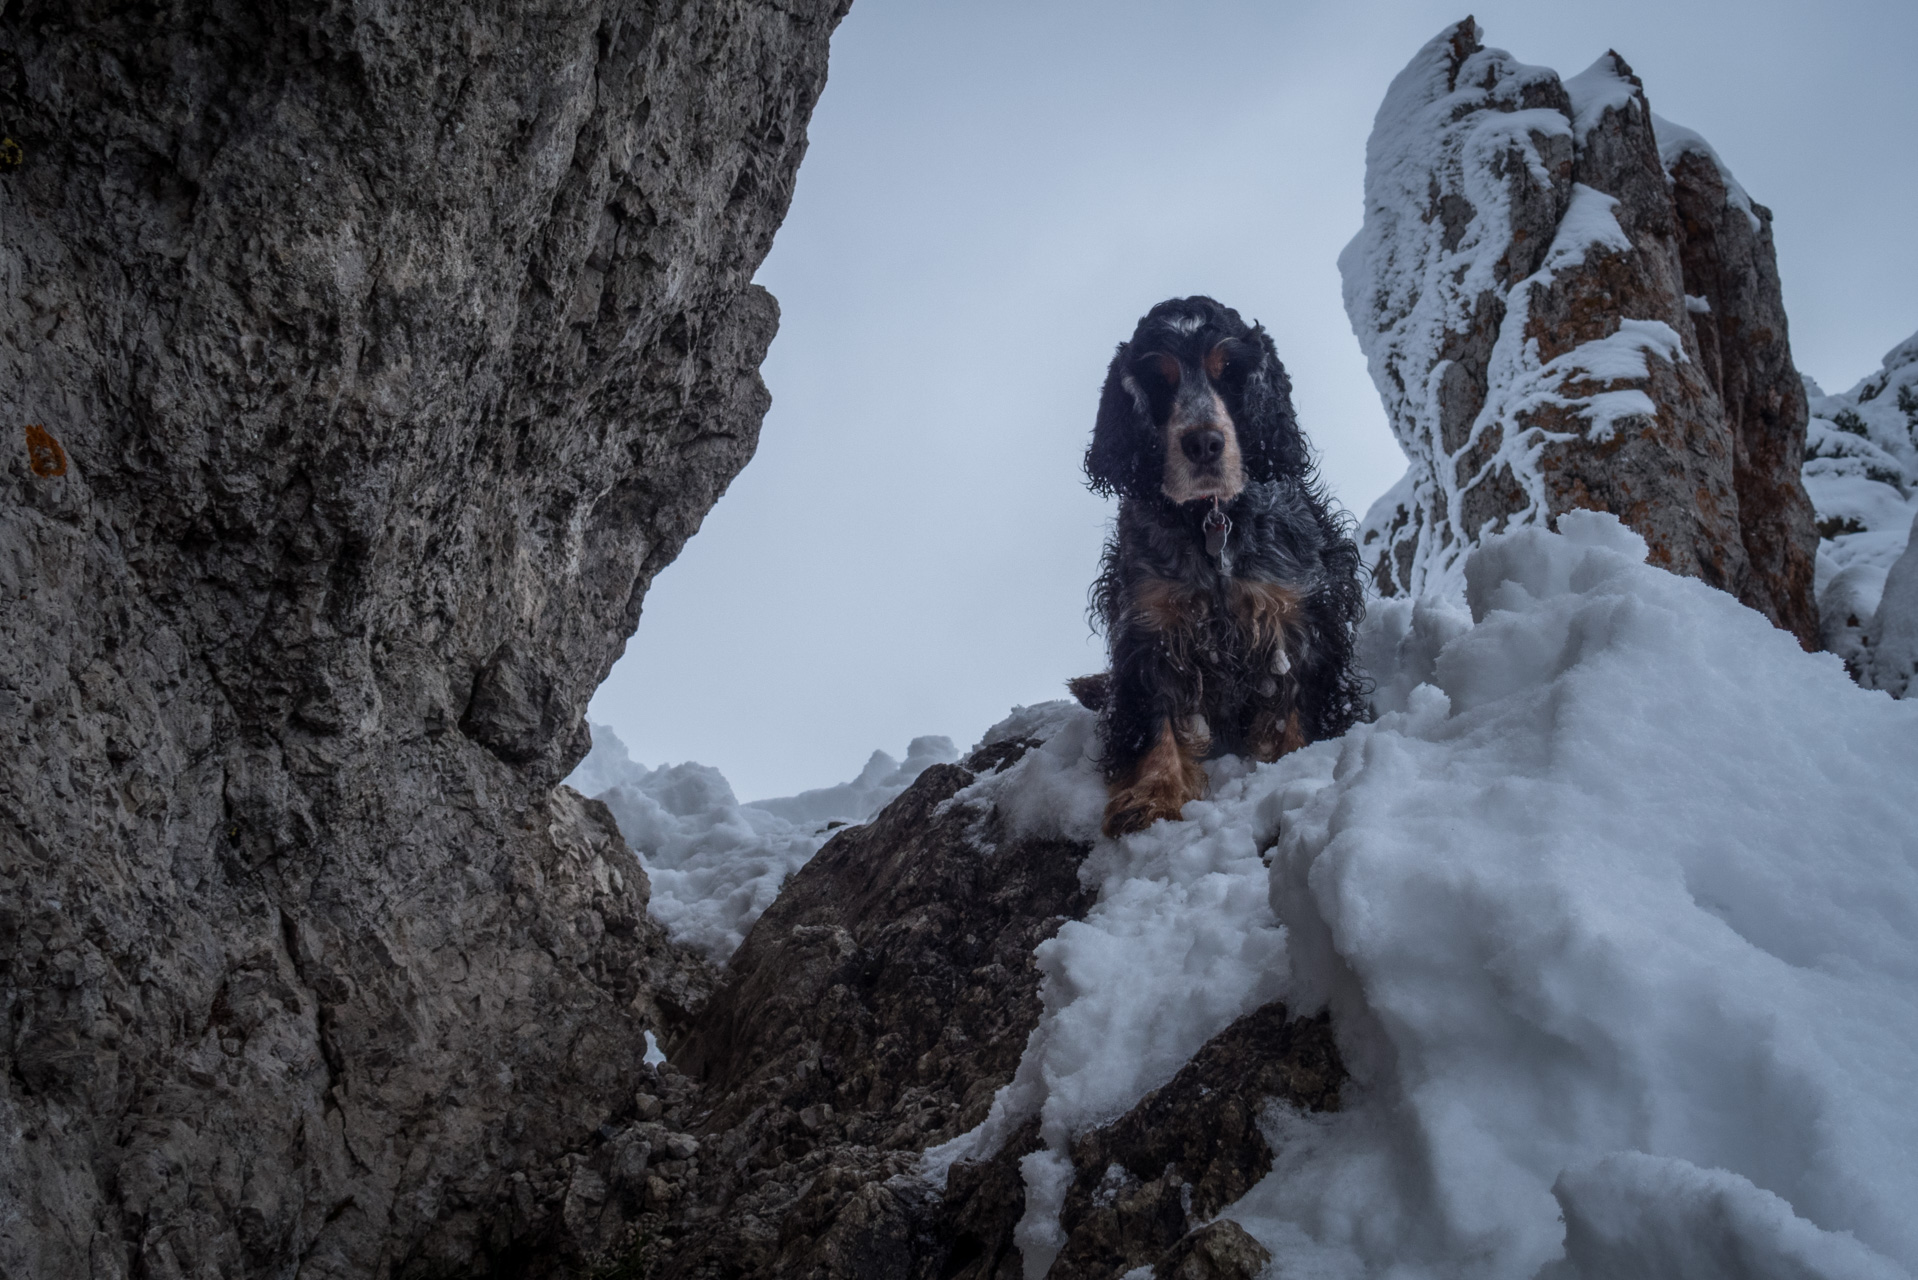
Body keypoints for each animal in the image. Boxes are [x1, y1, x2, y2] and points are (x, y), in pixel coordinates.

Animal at [1081, 299, 1365, 840]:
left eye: (1231, 372)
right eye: (1159, 381)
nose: (1204, 444)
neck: (1209, 521)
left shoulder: (1296, 610)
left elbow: (1295, 703)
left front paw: (1297, 764)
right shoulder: (1150, 623)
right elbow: (1154, 716)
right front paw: (1152, 796)